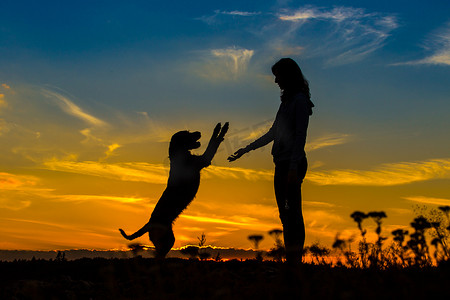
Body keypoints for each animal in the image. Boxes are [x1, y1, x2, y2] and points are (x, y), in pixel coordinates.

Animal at [119, 122, 229, 260]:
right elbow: (213, 142)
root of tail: (149, 223)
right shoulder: (204, 159)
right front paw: (221, 129)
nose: (198, 132)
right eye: (187, 134)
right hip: (166, 240)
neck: (179, 154)